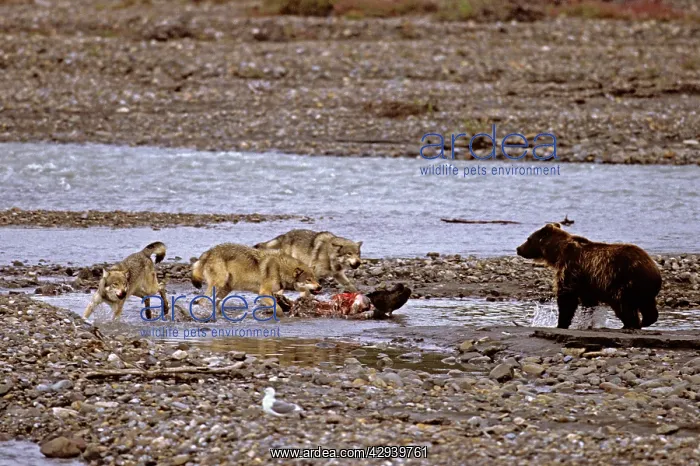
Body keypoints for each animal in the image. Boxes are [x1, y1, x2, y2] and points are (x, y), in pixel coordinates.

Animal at [190, 243, 322, 308]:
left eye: (315, 279)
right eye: (308, 280)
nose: (320, 287)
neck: (280, 268)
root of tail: (209, 252)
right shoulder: (263, 292)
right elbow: (277, 308)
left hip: (226, 289)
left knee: (215, 302)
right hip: (218, 284)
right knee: (202, 301)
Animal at [516, 223, 662, 330]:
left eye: (528, 239)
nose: (518, 248)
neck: (557, 253)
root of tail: (653, 268)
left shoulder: (571, 268)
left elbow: (567, 298)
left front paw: (561, 323)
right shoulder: (587, 281)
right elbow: (588, 301)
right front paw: (586, 320)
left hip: (625, 281)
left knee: (623, 305)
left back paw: (630, 324)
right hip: (643, 288)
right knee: (647, 306)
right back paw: (643, 322)